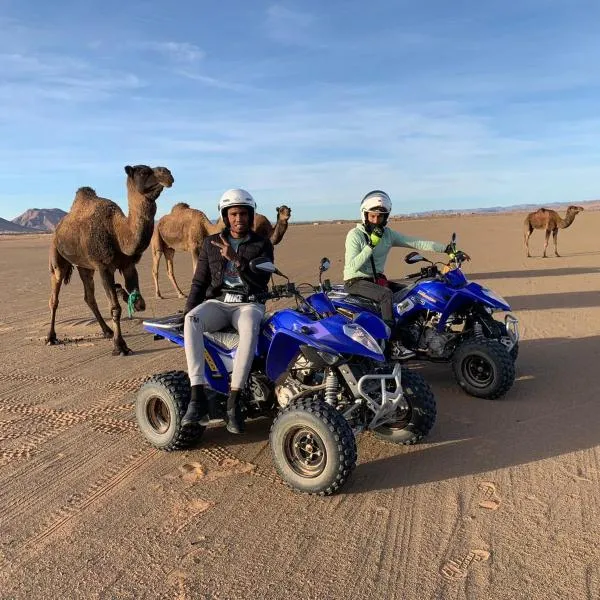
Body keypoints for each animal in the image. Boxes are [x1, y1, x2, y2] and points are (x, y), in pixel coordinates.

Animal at [46, 164, 173, 354]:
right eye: (144, 171)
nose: (167, 173)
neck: (118, 233)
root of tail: (58, 227)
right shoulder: (104, 266)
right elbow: (115, 308)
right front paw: (120, 346)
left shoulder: (128, 265)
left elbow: (140, 302)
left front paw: (122, 292)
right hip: (57, 256)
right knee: (55, 297)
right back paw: (51, 337)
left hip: (86, 266)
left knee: (89, 297)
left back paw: (107, 330)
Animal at [150, 204, 290, 298]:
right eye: (281, 210)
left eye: (289, 209)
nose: (288, 214)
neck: (205, 227)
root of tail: (158, 223)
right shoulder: (194, 247)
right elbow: (196, 269)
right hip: (157, 240)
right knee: (155, 267)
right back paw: (158, 295)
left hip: (170, 249)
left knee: (170, 270)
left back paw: (180, 293)